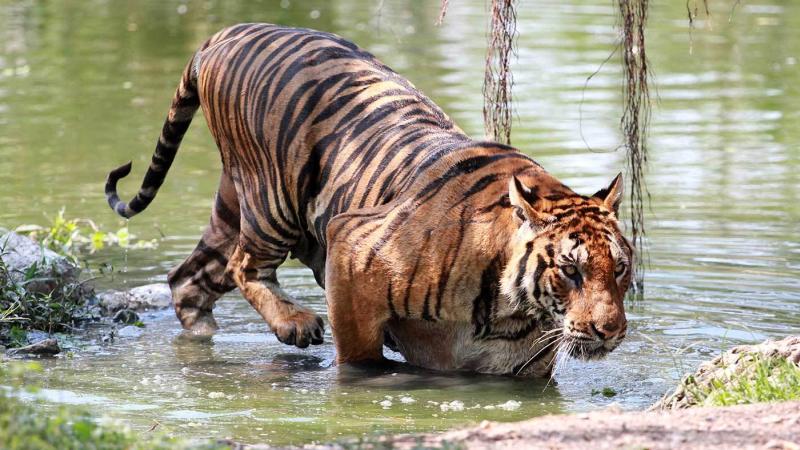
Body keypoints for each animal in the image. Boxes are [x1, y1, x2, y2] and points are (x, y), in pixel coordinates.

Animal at [105, 24, 633, 376]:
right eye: (570, 270)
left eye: (621, 269)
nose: (609, 330)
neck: (511, 313)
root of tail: (226, 31)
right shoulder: (351, 249)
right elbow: (360, 360)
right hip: (272, 201)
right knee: (244, 266)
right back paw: (295, 324)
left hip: (232, 209)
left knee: (186, 280)